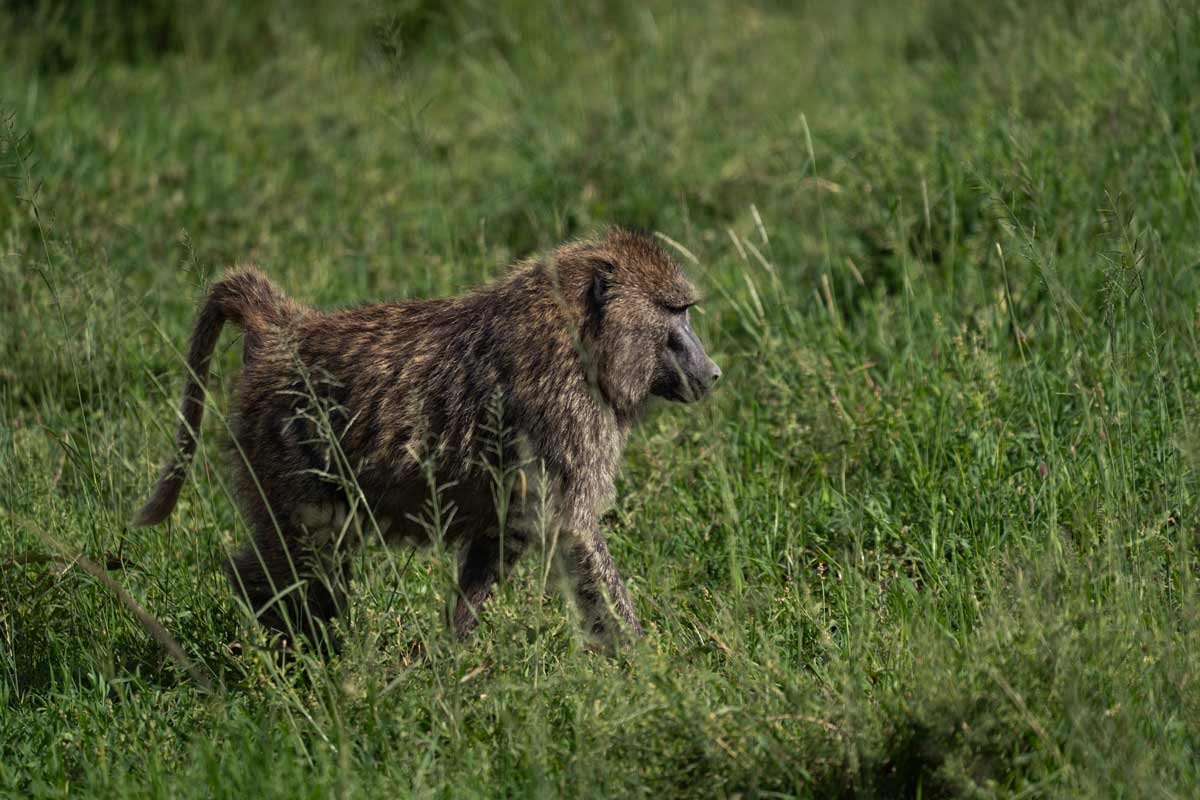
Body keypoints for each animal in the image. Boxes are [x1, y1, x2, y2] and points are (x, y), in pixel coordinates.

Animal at [133, 227, 721, 650]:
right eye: (675, 313)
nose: (712, 372)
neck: (577, 333)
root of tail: (284, 330)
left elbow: (499, 542)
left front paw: (452, 659)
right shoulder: (564, 416)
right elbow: (576, 530)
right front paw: (648, 666)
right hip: (284, 450)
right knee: (304, 551)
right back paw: (308, 654)